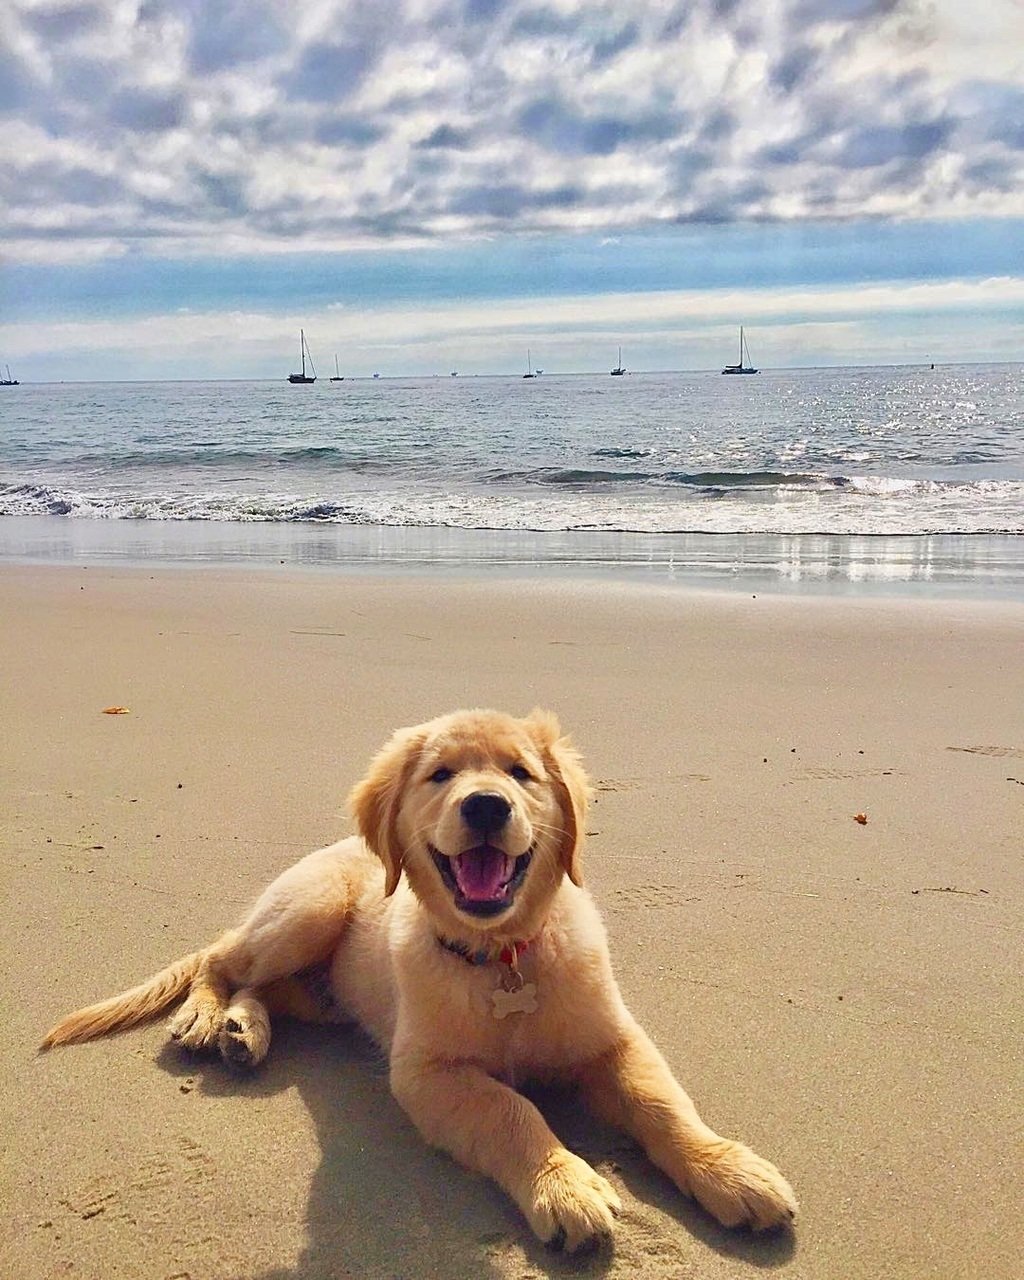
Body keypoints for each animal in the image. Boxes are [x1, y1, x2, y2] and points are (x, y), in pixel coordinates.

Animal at [40, 711, 793, 1249]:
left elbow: (661, 1103)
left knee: (266, 987)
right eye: (440, 775)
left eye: (521, 773)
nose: (486, 806)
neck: (502, 957)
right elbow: (510, 1110)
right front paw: (565, 1186)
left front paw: (729, 1170)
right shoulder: (427, 1072)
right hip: (308, 912)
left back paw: (243, 1029)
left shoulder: (614, 1039)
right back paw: (205, 1016)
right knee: (221, 960)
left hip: (323, 989)